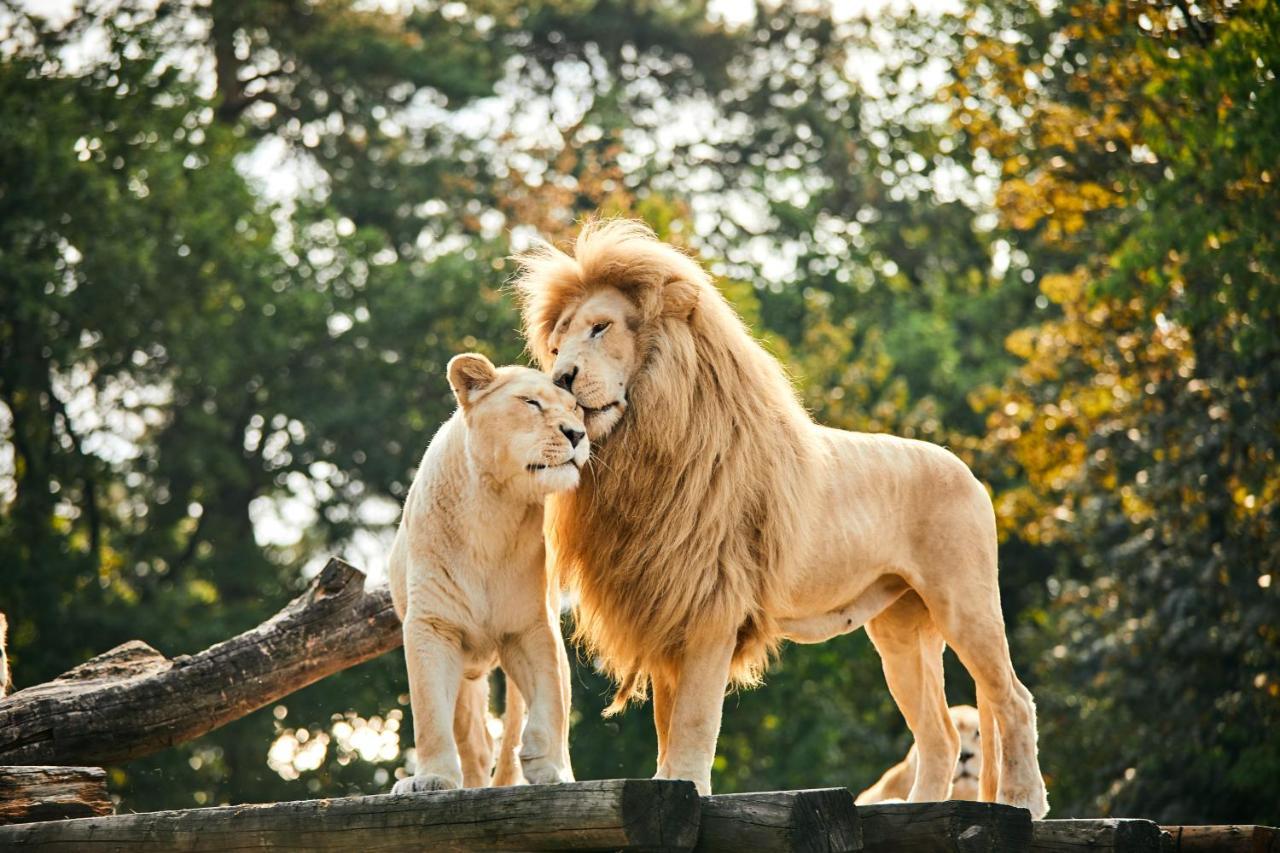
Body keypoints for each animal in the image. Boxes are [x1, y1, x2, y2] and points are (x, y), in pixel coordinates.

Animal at [386, 350, 583, 788]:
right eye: (531, 403)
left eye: (576, 408)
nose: (578, 434)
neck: (496, 507)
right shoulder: (433, 624)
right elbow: (430, 713)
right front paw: (432, 778)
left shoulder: (531, 624)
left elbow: (551, 696)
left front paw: (546, 766)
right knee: (475, 743)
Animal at [512, 216, 1049, 814]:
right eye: (555, 345)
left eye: (600, 327)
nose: (560, 377)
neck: (645, 447)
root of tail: (966, 470)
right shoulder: (666, 605)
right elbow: (668, 724)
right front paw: (668, 786)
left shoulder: (712, 608)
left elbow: (694, 721)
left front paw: (689, 788)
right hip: (901, 632)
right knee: (942, 734)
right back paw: (921, 810)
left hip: (964, 602)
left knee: (1013, 698)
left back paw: (1025, 802)